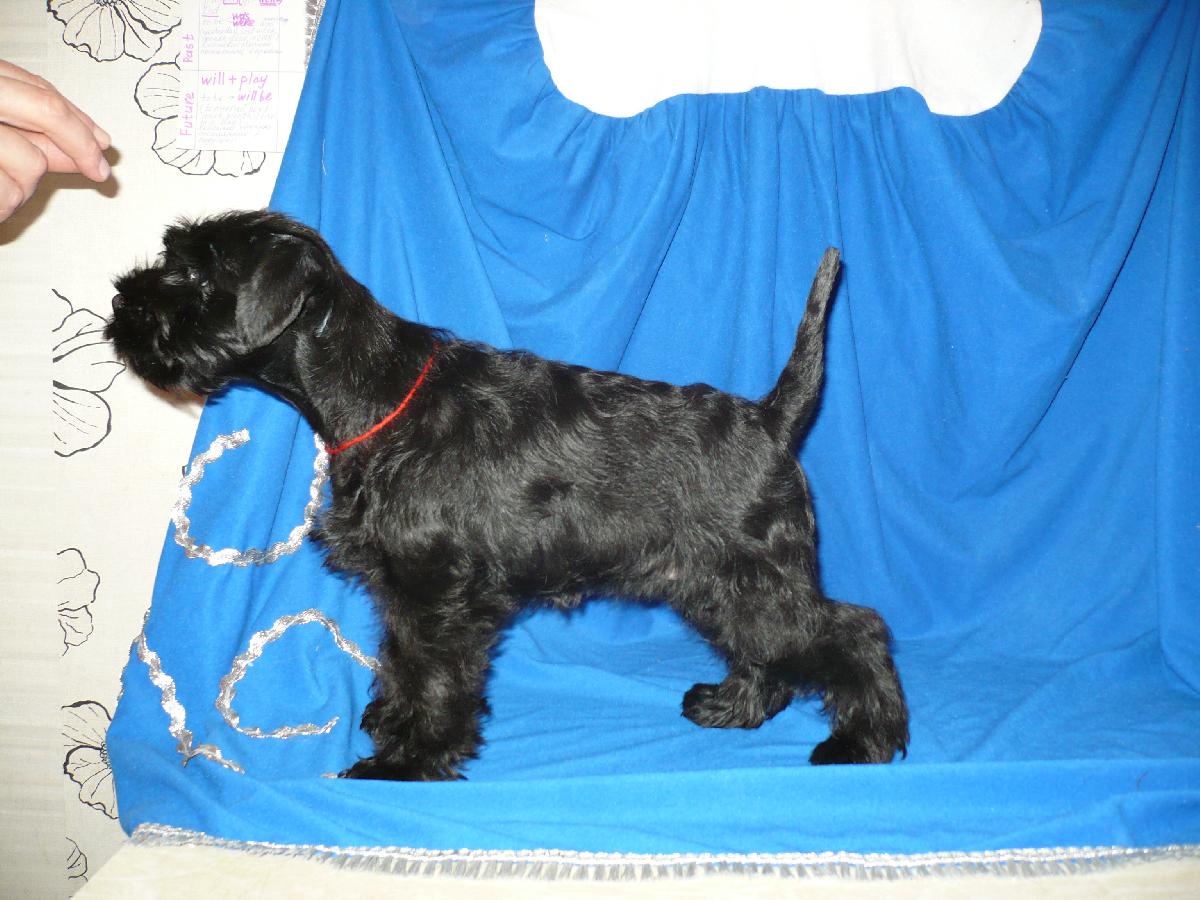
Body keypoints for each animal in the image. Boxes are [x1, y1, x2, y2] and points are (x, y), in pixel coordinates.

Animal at [107, 210, 908, 780]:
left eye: (191, 272)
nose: (122, 304)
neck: (375, 391)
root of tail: (770, 418)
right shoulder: (403, 589)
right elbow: (402, 662)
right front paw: (395, 727)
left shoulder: (438, 591)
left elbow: (434, 675)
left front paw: (407, 762)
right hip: (718, 584)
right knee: (771, 654)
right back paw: (733, 706)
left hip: (755, 579)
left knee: (854, 630)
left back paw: (866, 742)